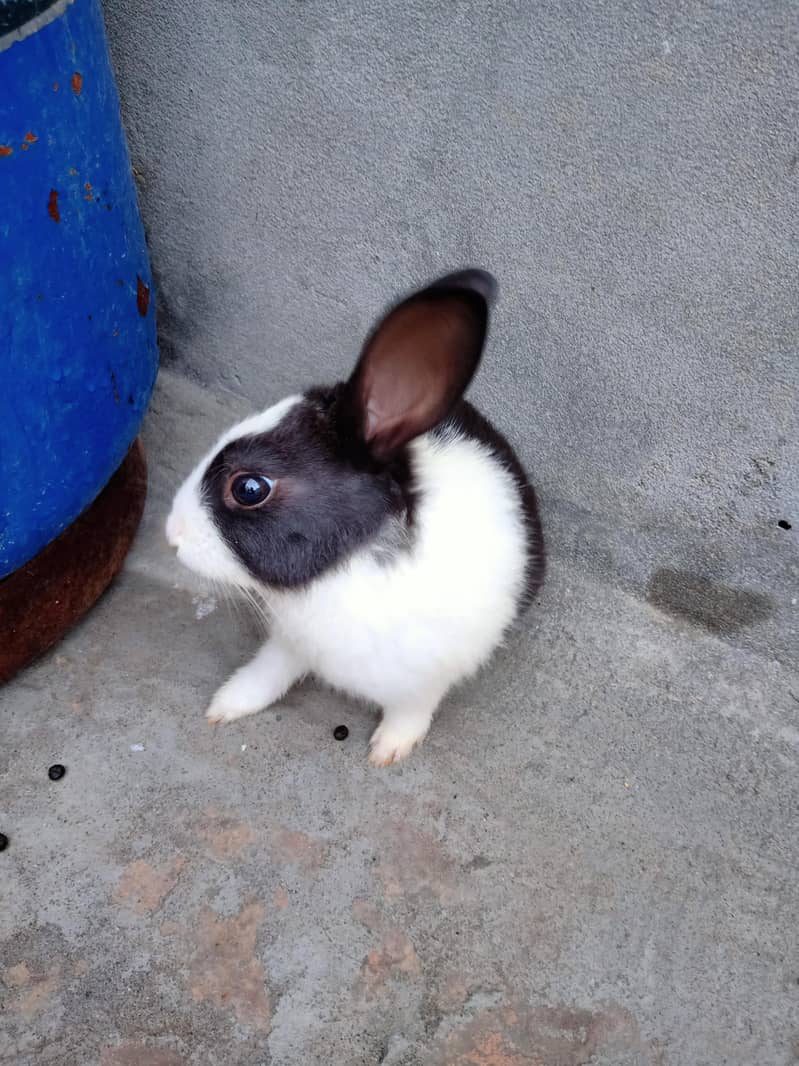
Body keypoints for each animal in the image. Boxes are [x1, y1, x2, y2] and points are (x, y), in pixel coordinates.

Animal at [166, 269, 544, 765]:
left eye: (249, 489)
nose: (171, 535)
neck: (344, 570)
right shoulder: (290, 642)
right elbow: (270, 670)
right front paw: (228, 703)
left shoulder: (426, 676)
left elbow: (412, 709)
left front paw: (388, 749)